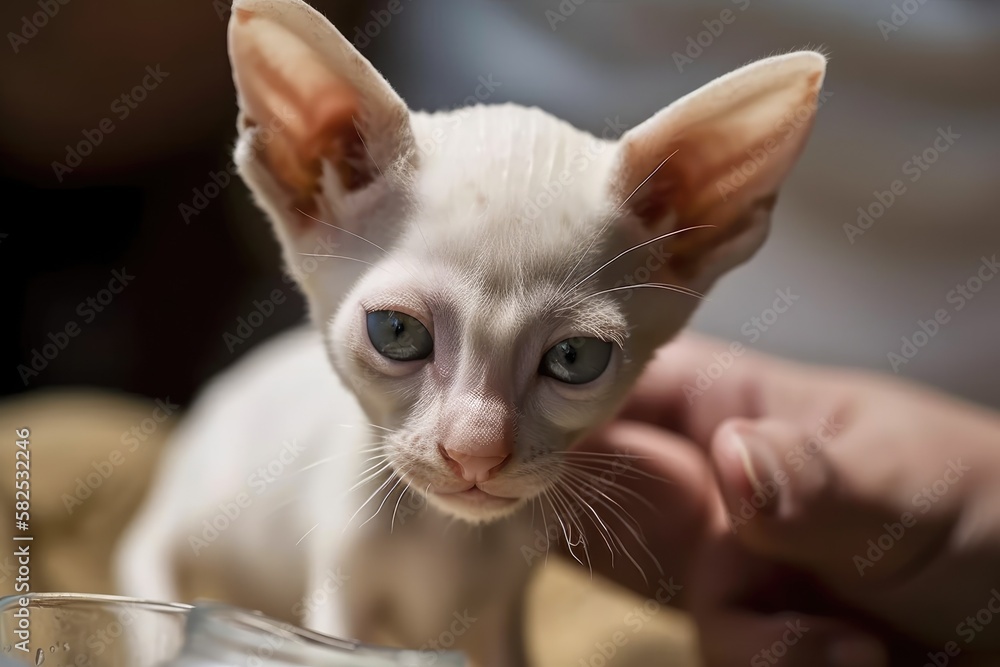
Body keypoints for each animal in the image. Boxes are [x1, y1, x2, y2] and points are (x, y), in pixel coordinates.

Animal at [113, 0, 824, 664]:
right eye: (396, 331)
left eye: (575, 357)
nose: (475, 453)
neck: (447, 536)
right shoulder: (342, 571)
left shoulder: (504, 603)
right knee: (145, 556)